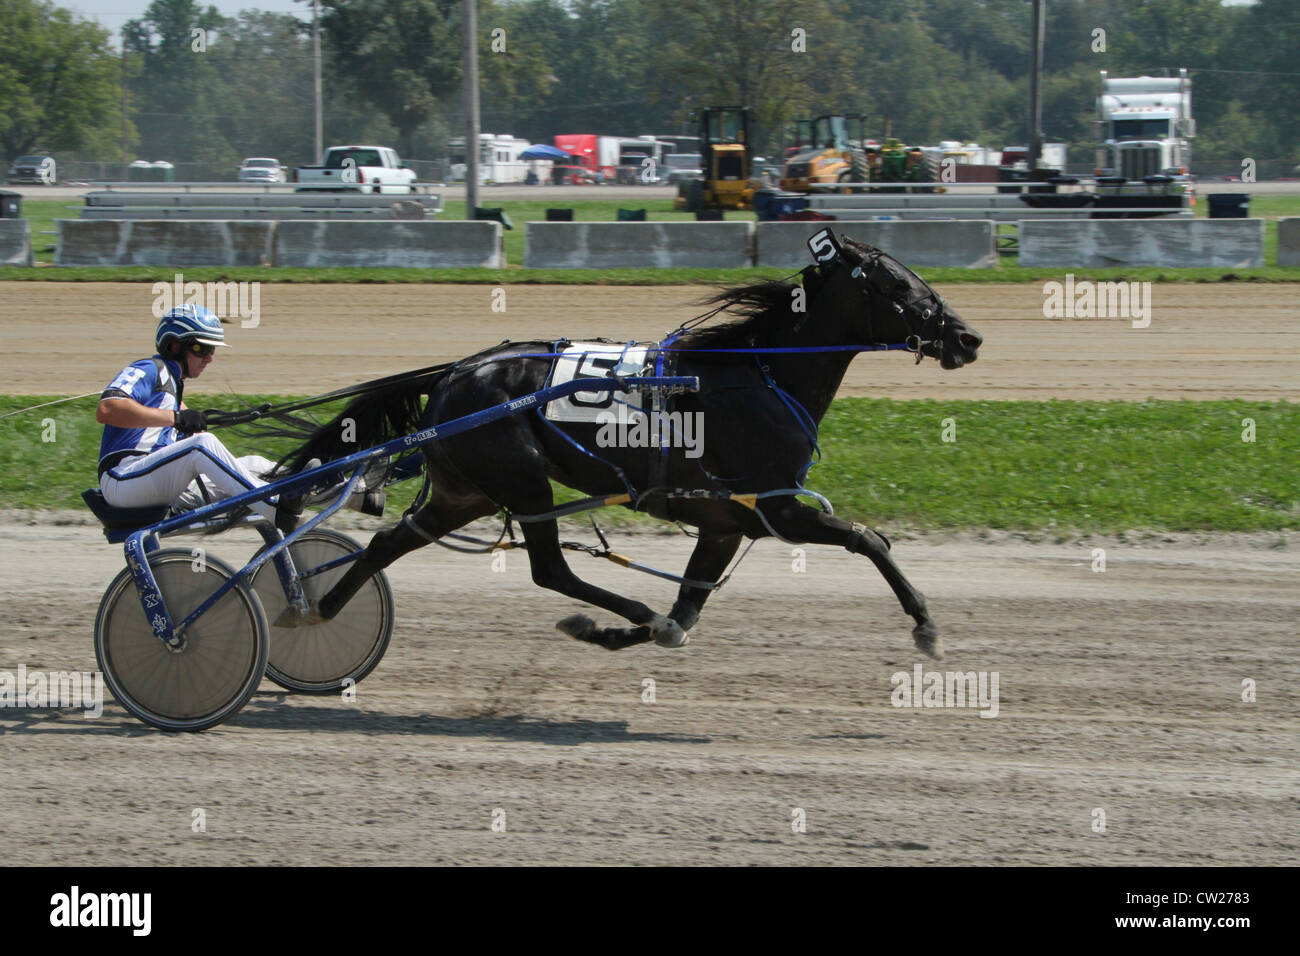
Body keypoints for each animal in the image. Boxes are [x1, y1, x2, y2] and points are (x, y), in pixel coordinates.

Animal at [276, 234, 982, 660]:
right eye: (897, 285)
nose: (968, 337)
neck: (758, 378)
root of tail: (456, 371)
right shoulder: (777, 509)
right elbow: (870, 541)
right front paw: (926, 627)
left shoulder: (725, 524)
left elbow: (688, 612)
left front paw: (623, 632)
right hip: (521, 478)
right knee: (549, 569)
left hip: (464, 491)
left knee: (389, 544)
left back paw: (318, 610)